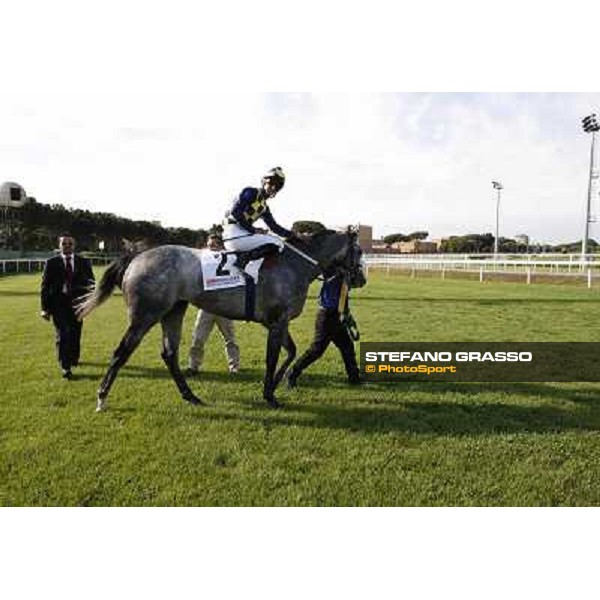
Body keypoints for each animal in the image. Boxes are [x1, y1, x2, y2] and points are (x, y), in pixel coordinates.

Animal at [75, 230, 366, 412]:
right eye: (359, 251)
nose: (361, 279)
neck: (295, 264)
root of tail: (136, 257)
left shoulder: (276, 322)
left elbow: (291, 352)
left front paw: (278, 383)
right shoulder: (277, 322)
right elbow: (273, 357)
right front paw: (269, 395)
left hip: (174, 311)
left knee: (169, 353)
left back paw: (191, 396)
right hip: (144, 316)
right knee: (121, 352)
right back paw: (101, 398)